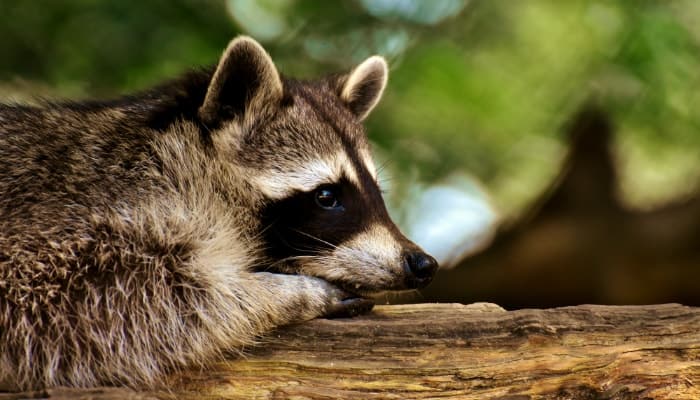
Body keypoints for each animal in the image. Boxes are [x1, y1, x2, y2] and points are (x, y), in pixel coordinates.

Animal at [0, 36, 438, 390]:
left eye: (376, 192)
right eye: (328, 196)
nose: (423, 263)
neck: (181, 162)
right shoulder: (80, 215)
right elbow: (128, 303)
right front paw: (282, 293)